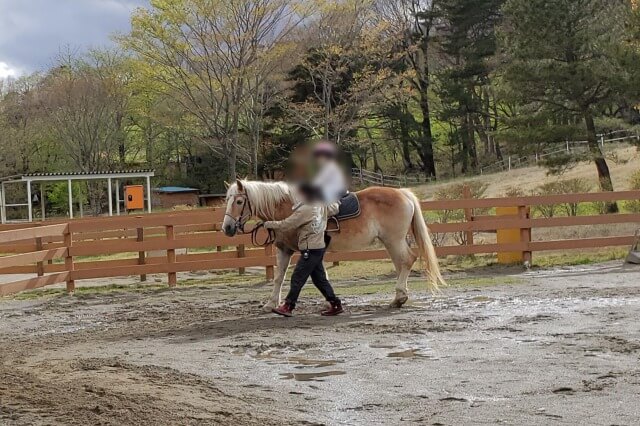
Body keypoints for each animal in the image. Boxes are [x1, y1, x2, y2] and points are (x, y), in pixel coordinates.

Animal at [221, 178, 444, 312]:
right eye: (227, 200)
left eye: (239, 201)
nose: (227, 228)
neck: (290, 207)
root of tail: (403, 193)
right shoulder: (285, 249)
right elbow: (279, 277)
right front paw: (270, 304)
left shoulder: (305, 251)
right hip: (391, 242)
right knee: (401, 264)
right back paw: (400, 296)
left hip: (394, 240)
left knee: (407, 260)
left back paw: (398, 298)